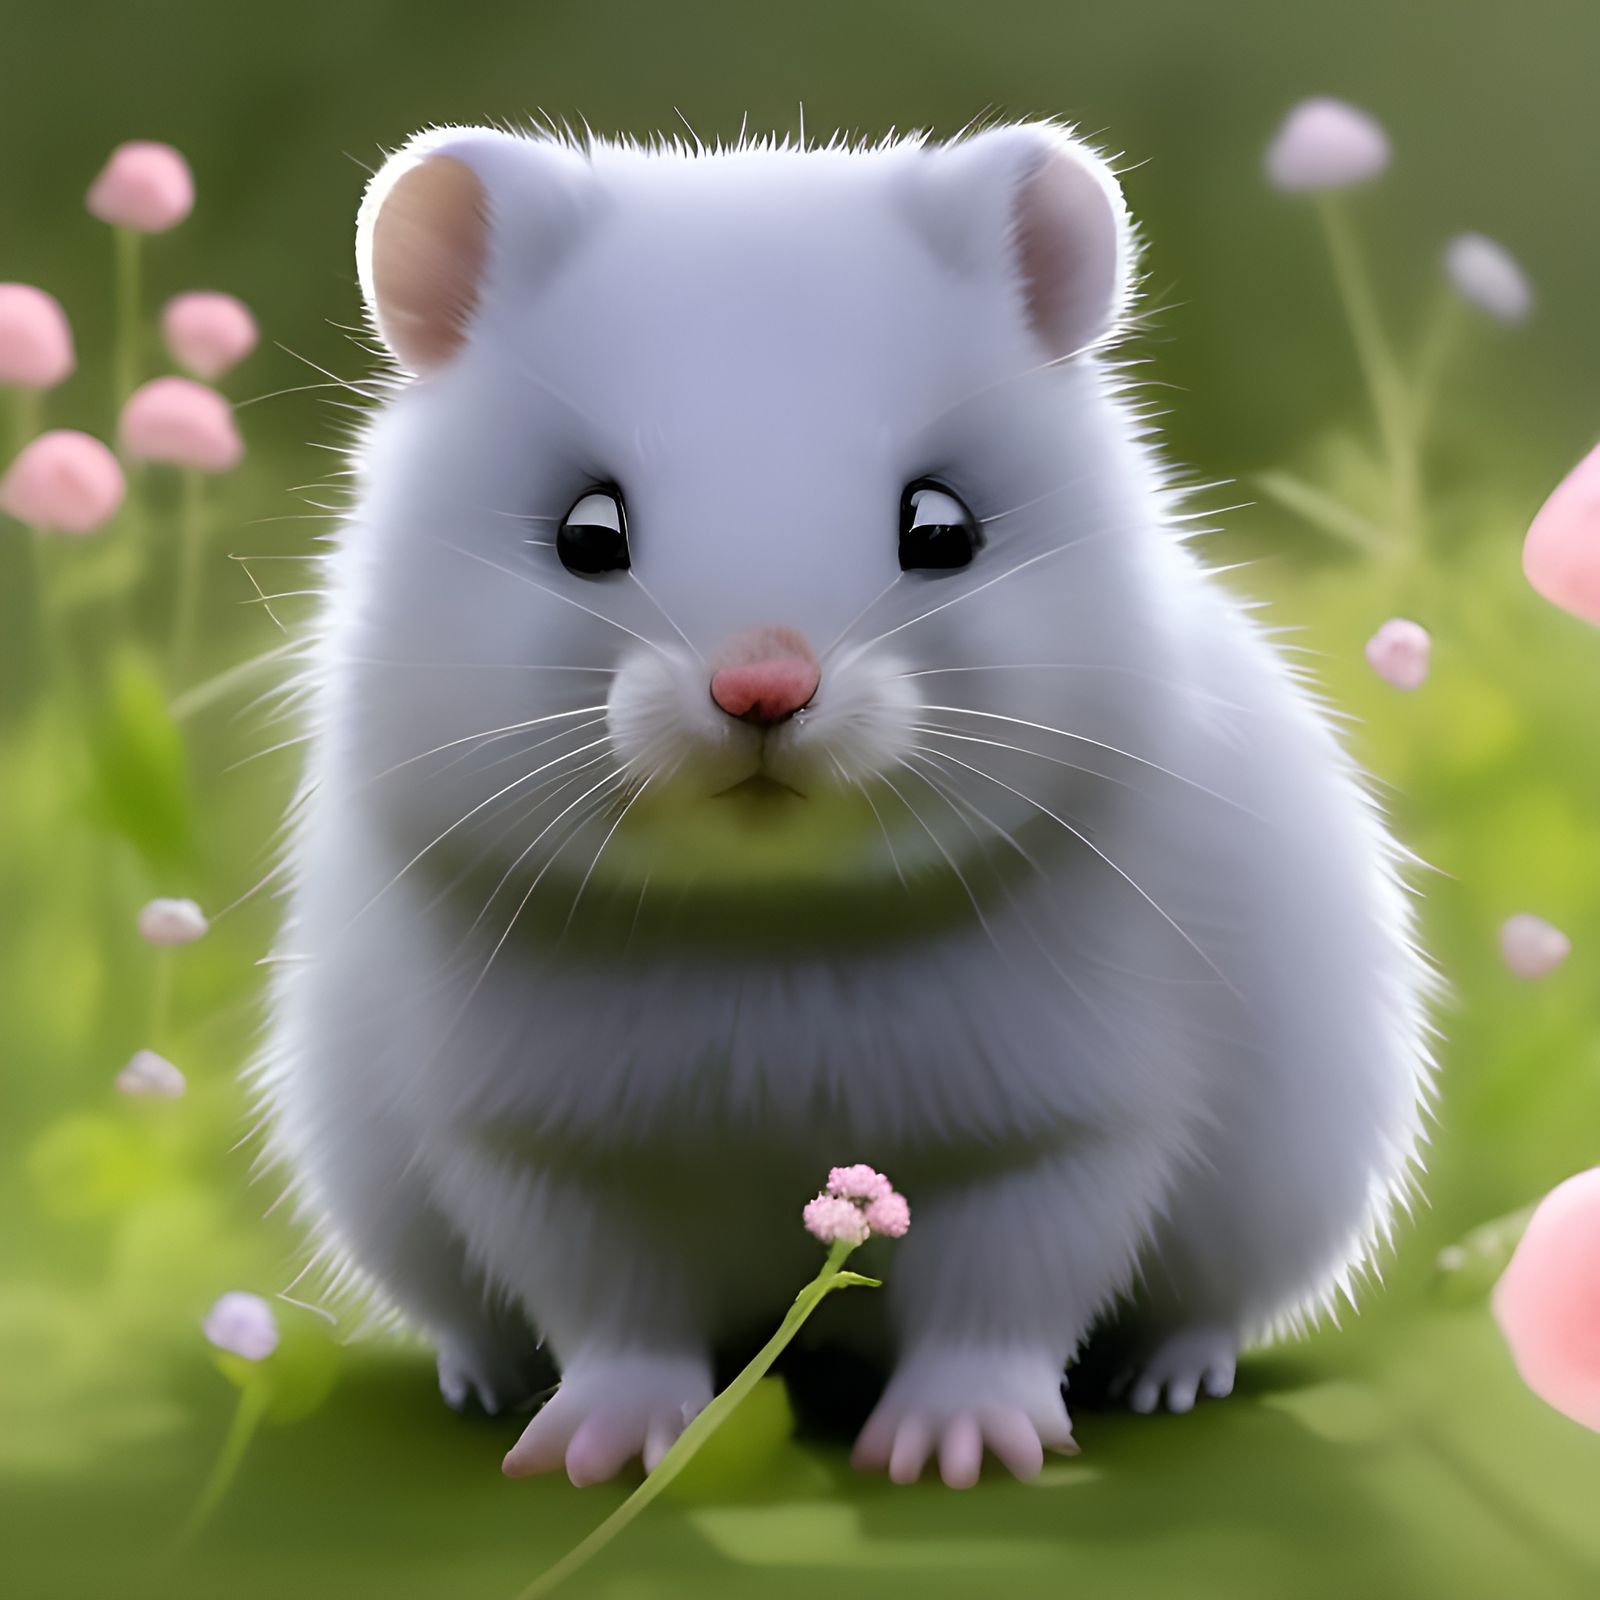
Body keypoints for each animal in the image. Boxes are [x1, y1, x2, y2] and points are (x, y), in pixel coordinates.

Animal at [258, 121, 1433, 1490]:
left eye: (940, 524)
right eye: (585, 529)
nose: (762, 686)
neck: (769, 931)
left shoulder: (1055, 1138)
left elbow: (1003, 1299)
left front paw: (955, 1453)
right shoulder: (543, 1155)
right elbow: (612, 1312)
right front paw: (602, 1455)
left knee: (1204, 1308)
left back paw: (1169, 1380)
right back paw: (482, 1381)